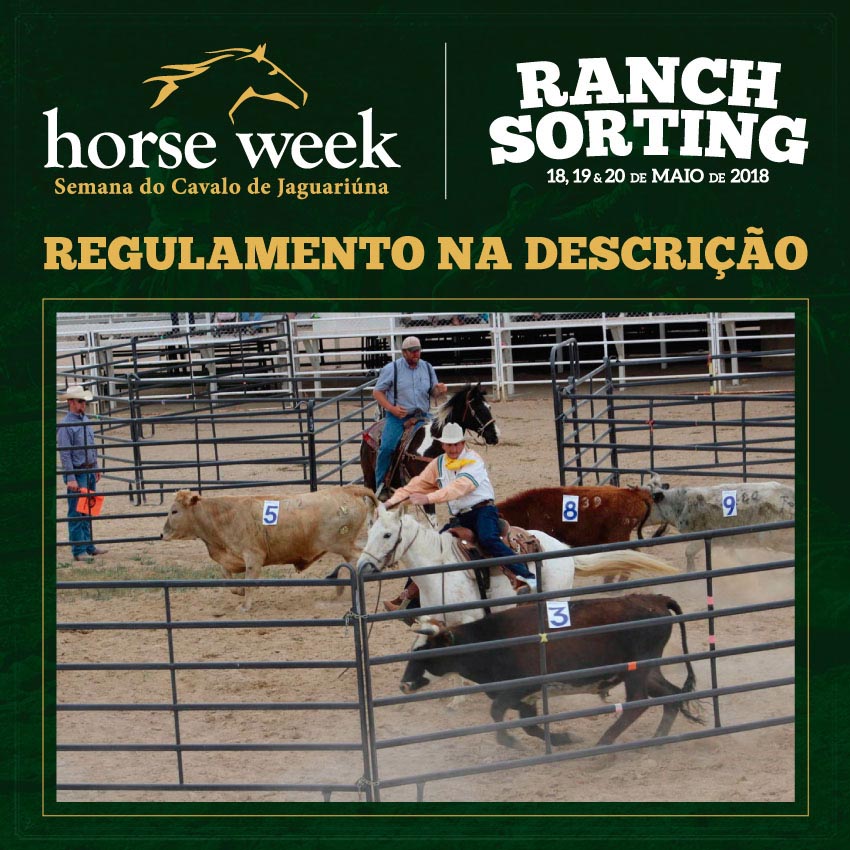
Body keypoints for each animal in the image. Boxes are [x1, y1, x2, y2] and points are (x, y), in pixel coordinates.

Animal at [161, 485, 378, 610]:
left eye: (174, 511)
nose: (162, 534)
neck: (223, 516)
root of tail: (348, 489)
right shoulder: (231, 558)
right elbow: (228, 578)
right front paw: (239, 592)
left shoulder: (254, 556)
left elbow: (249, 581)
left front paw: (245, 606)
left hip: (341, 543)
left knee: (358, 558)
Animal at [356, 505, 679, 627]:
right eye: (369, 532)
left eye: (387, 535)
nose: (363, 566)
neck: (438, 574)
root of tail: (564, 551)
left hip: (555, 598)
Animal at [400, 594, 702, 749]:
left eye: (425, 652)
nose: (404, 684)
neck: (491, 640)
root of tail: (654, 598)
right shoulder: (525, 698)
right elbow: (530, 726)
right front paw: (562, 738)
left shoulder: (519, 688)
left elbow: (497, 712)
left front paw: (509, 741)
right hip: (647, 669)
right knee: (671, 694)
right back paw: (657, 739)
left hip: (637, 669)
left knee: (637, 702)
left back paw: (604, 745)